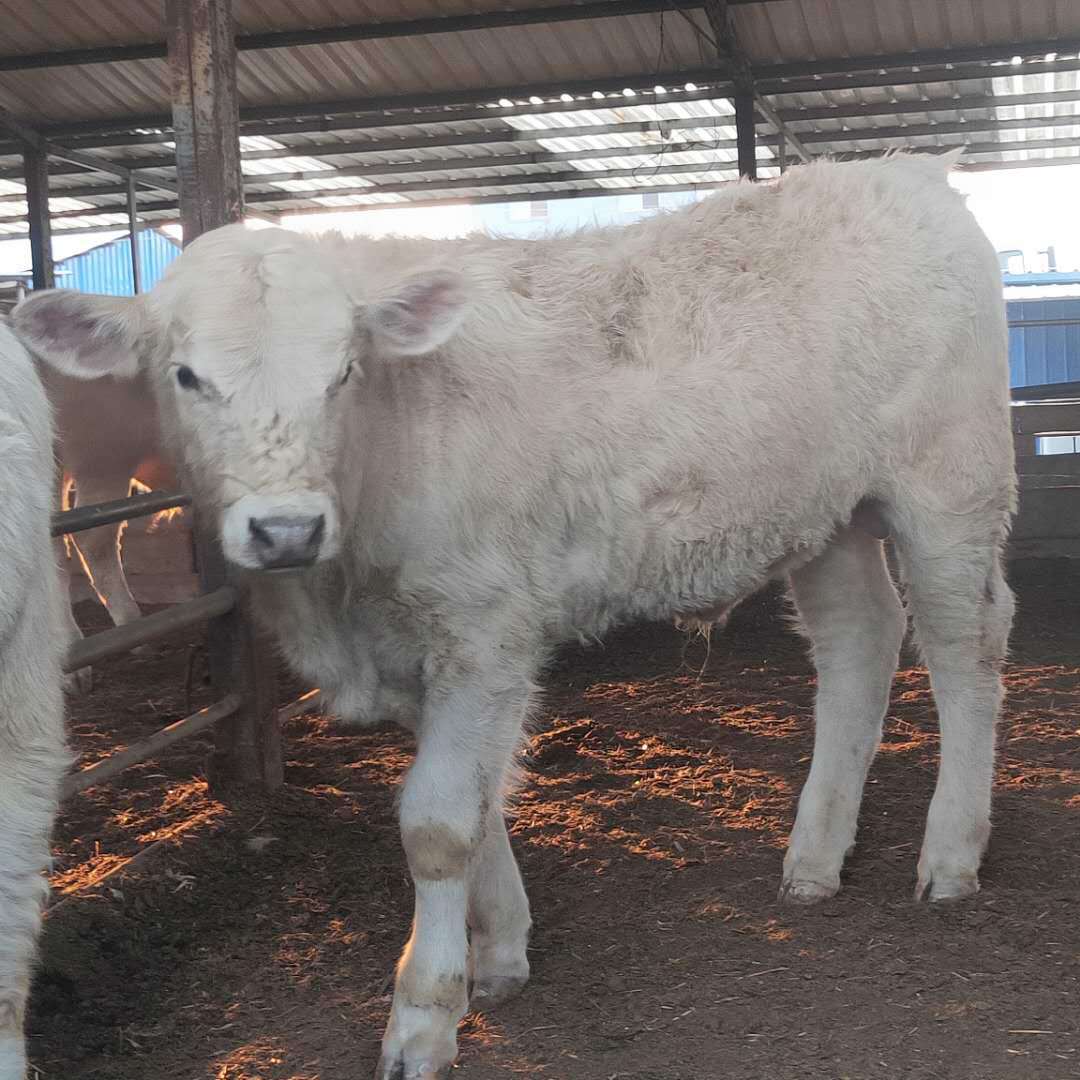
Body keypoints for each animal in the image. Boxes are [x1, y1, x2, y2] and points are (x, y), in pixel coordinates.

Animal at [14, 154, 1010, 1080]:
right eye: (186, 376)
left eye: (344, 372)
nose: (286, 527)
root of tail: (902, 172)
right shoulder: (423, 654)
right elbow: (477, 799)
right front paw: (497, 954)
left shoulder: (484, 628)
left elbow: (438, 822)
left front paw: (423, 1014)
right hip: (827, 514)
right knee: (859, 643)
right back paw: (815, 855)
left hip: (948, 487)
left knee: (966, 648)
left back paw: (952, 852)